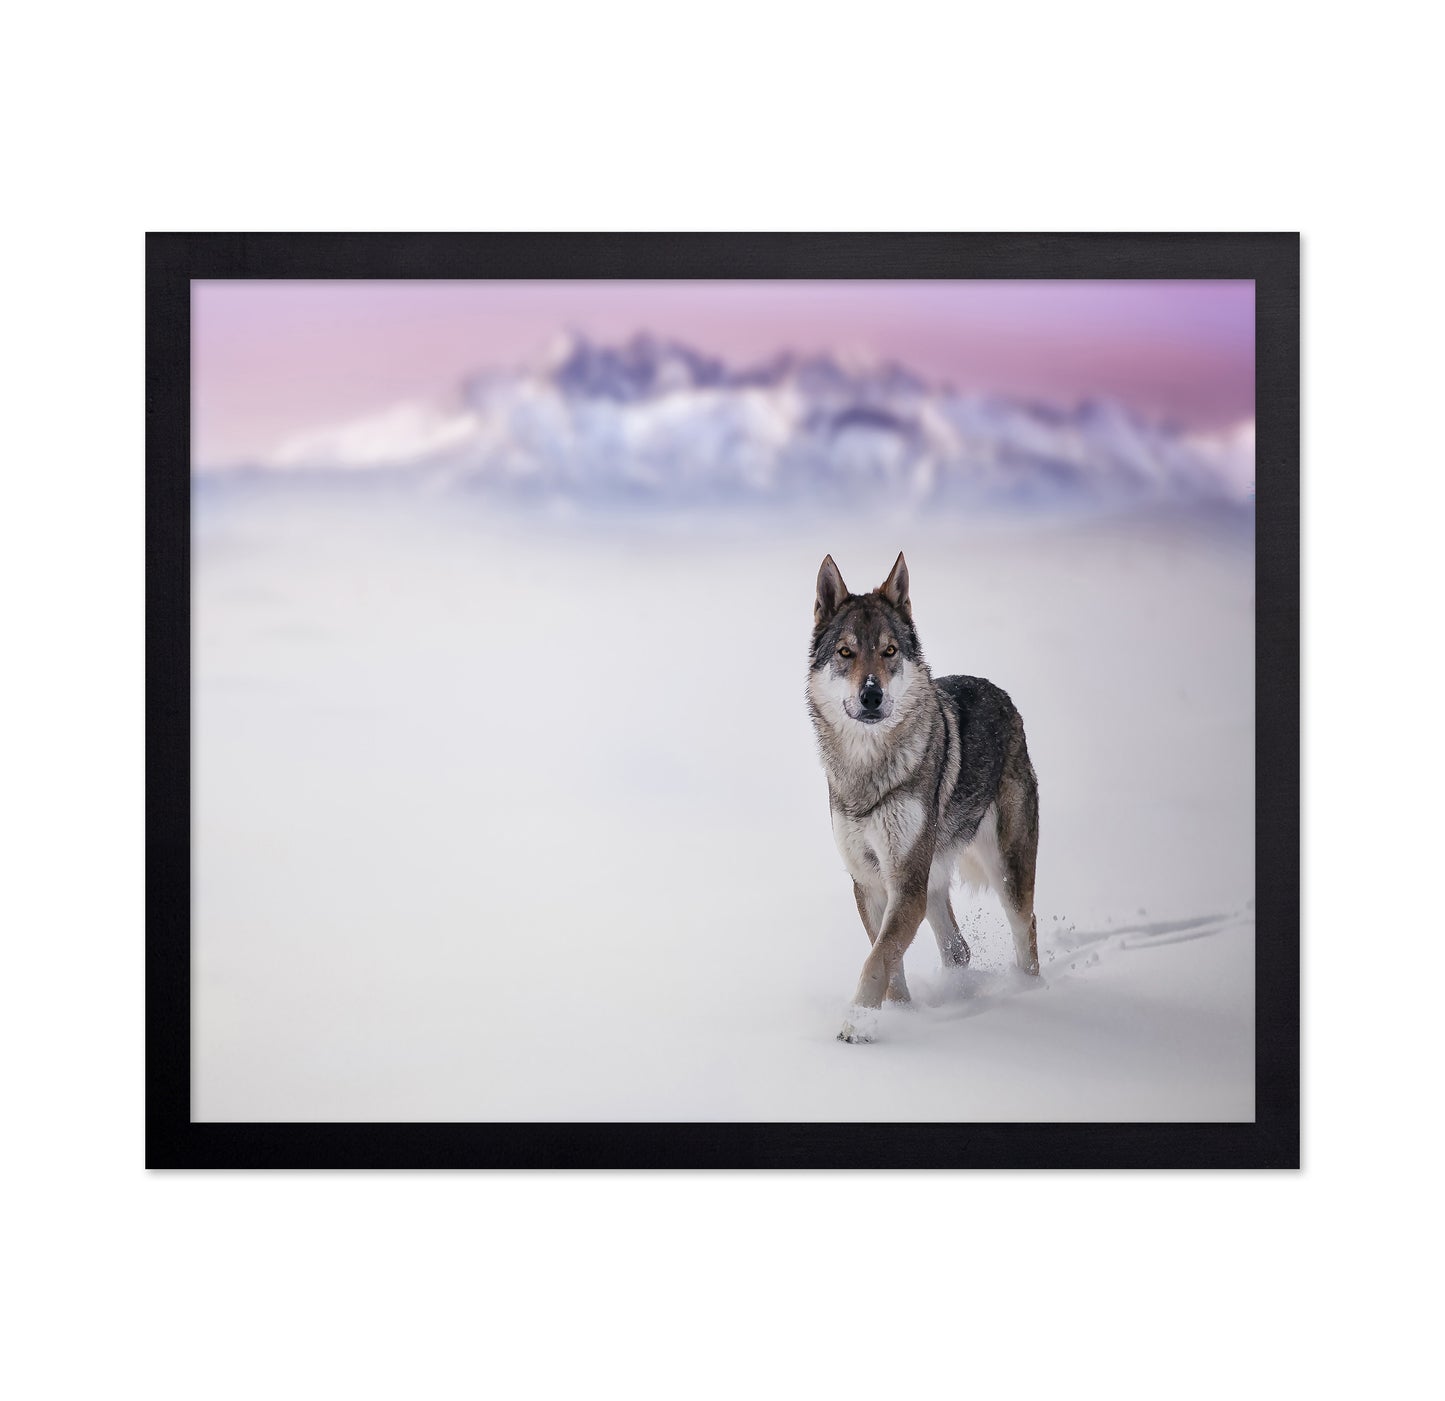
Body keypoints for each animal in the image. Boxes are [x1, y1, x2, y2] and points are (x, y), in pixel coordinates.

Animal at [807, 552, 1041, 1042]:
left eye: (890, 651)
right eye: (845, 652)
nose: (871, 695)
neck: (868, 772)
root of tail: (1004, 695)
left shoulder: (905, 885)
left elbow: (877, 959)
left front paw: (855, 1027)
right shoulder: (871, 883)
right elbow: (888, 960)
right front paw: (899, 1015)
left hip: (1005, 873)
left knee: (1026, 926)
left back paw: (1031, 994)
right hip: (932, 883)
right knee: (960, 949)